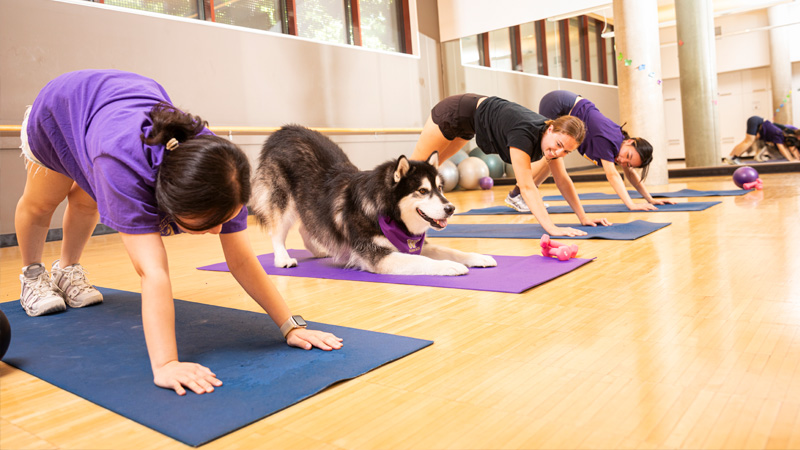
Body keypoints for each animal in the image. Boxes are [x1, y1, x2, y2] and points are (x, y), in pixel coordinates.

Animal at [253, 125, 496, 276]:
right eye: (422, 190)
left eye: (440, 188)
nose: (451, 208)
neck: (387, 211)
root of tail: (283, 131)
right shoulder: (378, 255)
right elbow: (423, 261)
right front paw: (451, 266)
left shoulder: (414, 245)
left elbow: (450, 250)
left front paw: (478, 257)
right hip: (284, 201)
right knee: (276, 232)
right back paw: (283, 258)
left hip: (310, 205)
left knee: (308, 226)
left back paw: (321, 250)